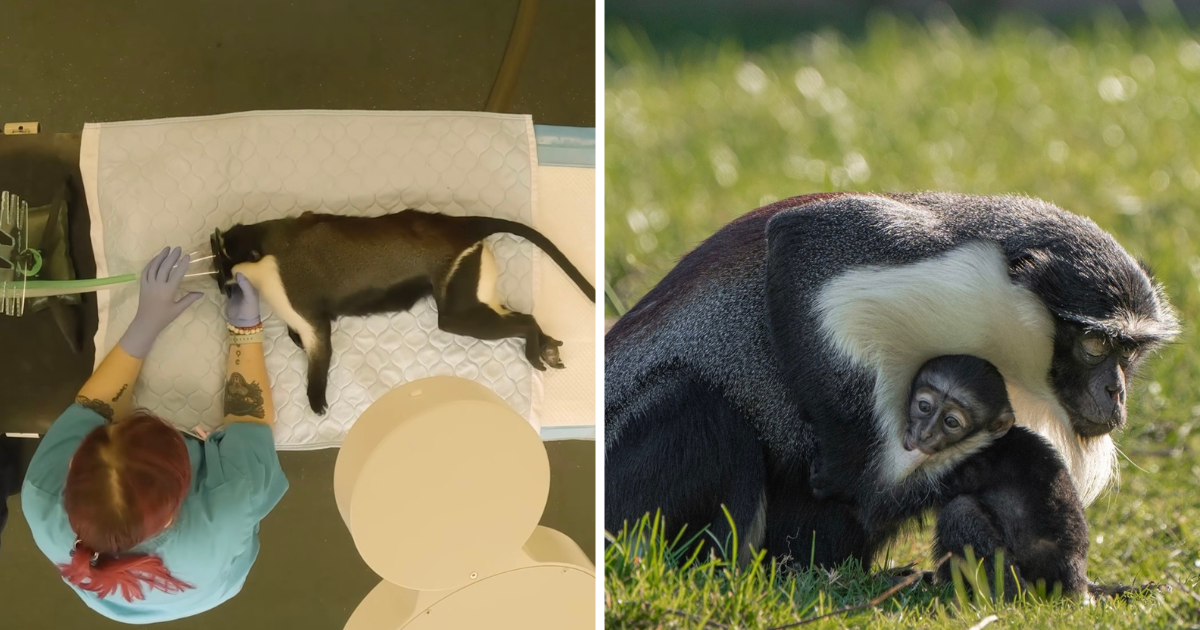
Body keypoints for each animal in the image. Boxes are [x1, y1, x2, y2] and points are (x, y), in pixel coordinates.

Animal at [213, 209, 596, 414]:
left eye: (225, 256)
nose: (219, 278)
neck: (268, 247)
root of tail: (460, 225)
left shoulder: (294, 291)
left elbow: (320, 338)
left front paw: (316, 395)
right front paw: (294, 339)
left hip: (459, 278)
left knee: (469, 319)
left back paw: (532, 337)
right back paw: (543, 340)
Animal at [604, 192, 1177, 573]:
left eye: (1129, 353)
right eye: (1095, 345)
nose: (1116, 391)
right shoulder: (935, 261)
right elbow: (798, 238)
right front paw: (861, 480)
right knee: (700, 407)